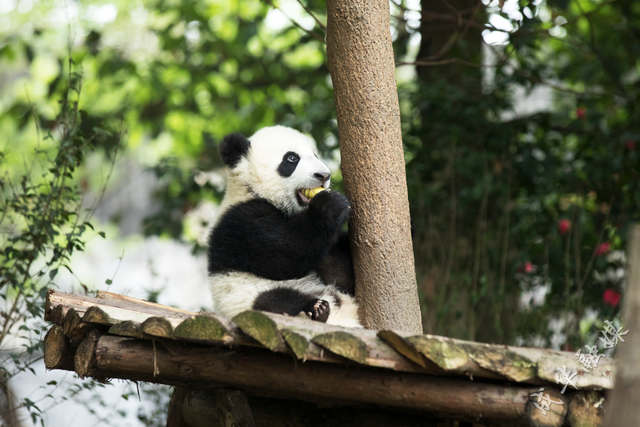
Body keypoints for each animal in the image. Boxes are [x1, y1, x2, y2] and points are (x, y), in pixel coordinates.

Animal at [208, 125, 362, 330]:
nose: (324, 175)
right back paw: (316, 309)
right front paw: (330, 205)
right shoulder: (242, 222)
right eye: (291, 158)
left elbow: (337, 264)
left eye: (315, 155)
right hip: (245, 297)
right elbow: (284, 255)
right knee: (274, 301)